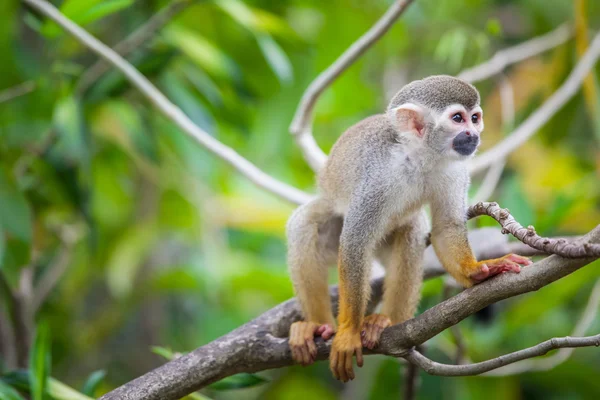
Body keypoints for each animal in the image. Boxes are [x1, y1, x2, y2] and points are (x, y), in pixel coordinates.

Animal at [286, 75, 528, 382]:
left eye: (475, 118)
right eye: (458, 119)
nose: (473, 134)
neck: (419, 155)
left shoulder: (455, 169)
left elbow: (445, 228)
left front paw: (477, 271)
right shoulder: (377, 177)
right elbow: (355, 242)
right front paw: (348, 332)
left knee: (411, 230)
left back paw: (386, 322)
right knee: (305, 225)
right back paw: (318, 326)